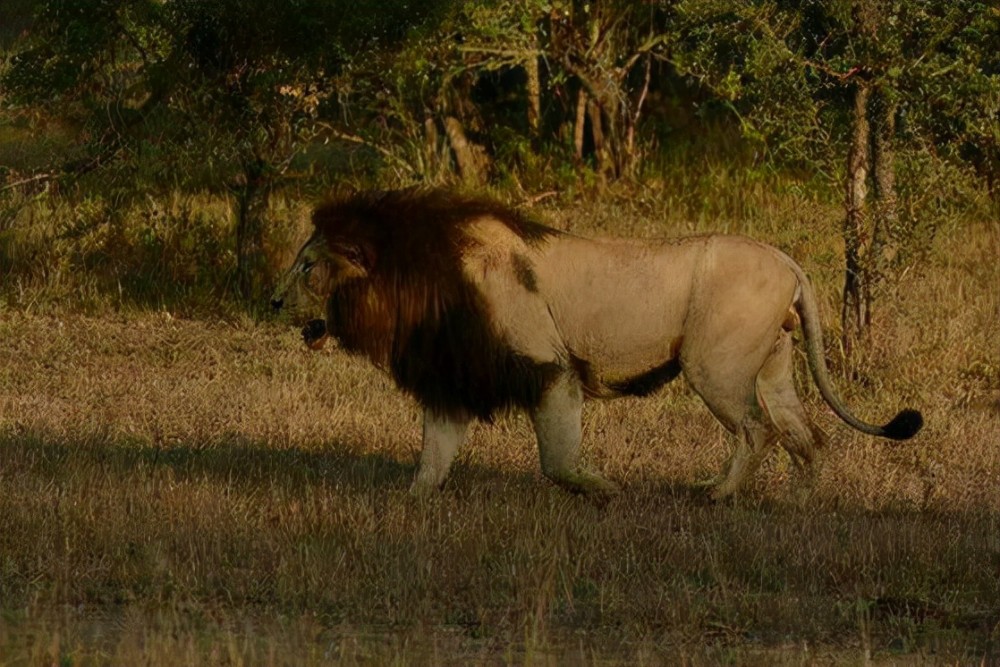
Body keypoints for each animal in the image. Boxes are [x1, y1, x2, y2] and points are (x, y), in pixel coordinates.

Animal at [268, 185, 920, 498]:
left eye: (307, 267)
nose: (272, 302)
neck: (417, 282)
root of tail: (788, 260)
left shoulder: (548, 366)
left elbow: (556, 461)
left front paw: (605, 490)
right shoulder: (454, 377)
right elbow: (432, 459)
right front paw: (409, 505)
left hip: (713, 366)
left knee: (758, 432)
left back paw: (716, 495)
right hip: (774, 367)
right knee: (806, 436)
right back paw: (797, 502)